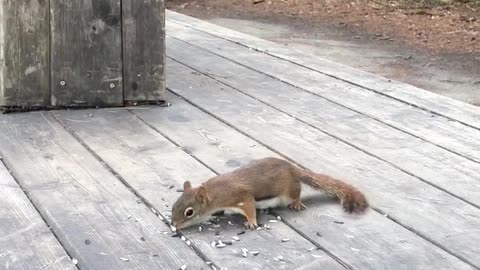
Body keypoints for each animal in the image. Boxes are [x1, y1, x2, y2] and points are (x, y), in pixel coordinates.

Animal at [171, 156, 370, 230]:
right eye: (174, 206)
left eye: (189, 212)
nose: (174, 225)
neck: (215, 194)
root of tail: (294, 169)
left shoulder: (240, 196)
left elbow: (250, 206)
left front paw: (251, 222)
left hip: (289, 190)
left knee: (296, 193)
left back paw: (296, 203)